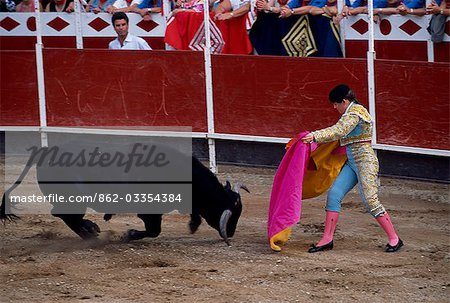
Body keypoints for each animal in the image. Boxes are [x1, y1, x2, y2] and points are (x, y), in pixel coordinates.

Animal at [0, 144, 248, 246]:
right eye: (230, 213)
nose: (231, 233)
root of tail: (44, 152)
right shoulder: (150, 211)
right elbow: (154, 231)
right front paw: (128, 234)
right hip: (73, 199)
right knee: (65, 215)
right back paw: (91, 232)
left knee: (65, 216)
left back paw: (90, 231)